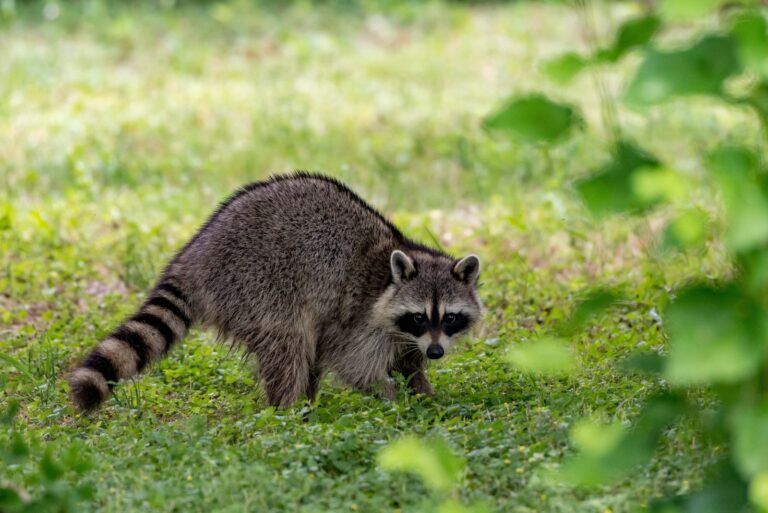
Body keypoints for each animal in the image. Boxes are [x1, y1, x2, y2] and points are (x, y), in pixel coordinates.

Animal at [69, 173, 482, 411]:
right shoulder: (359, 317)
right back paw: (287, 410)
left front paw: (424, 395)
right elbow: (353, 363)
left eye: (449, 317)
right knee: (290, 345)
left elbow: (407, 362)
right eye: (419, 316)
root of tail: (193, 256)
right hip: (257, 286)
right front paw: (392, 399)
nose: (437, 352)